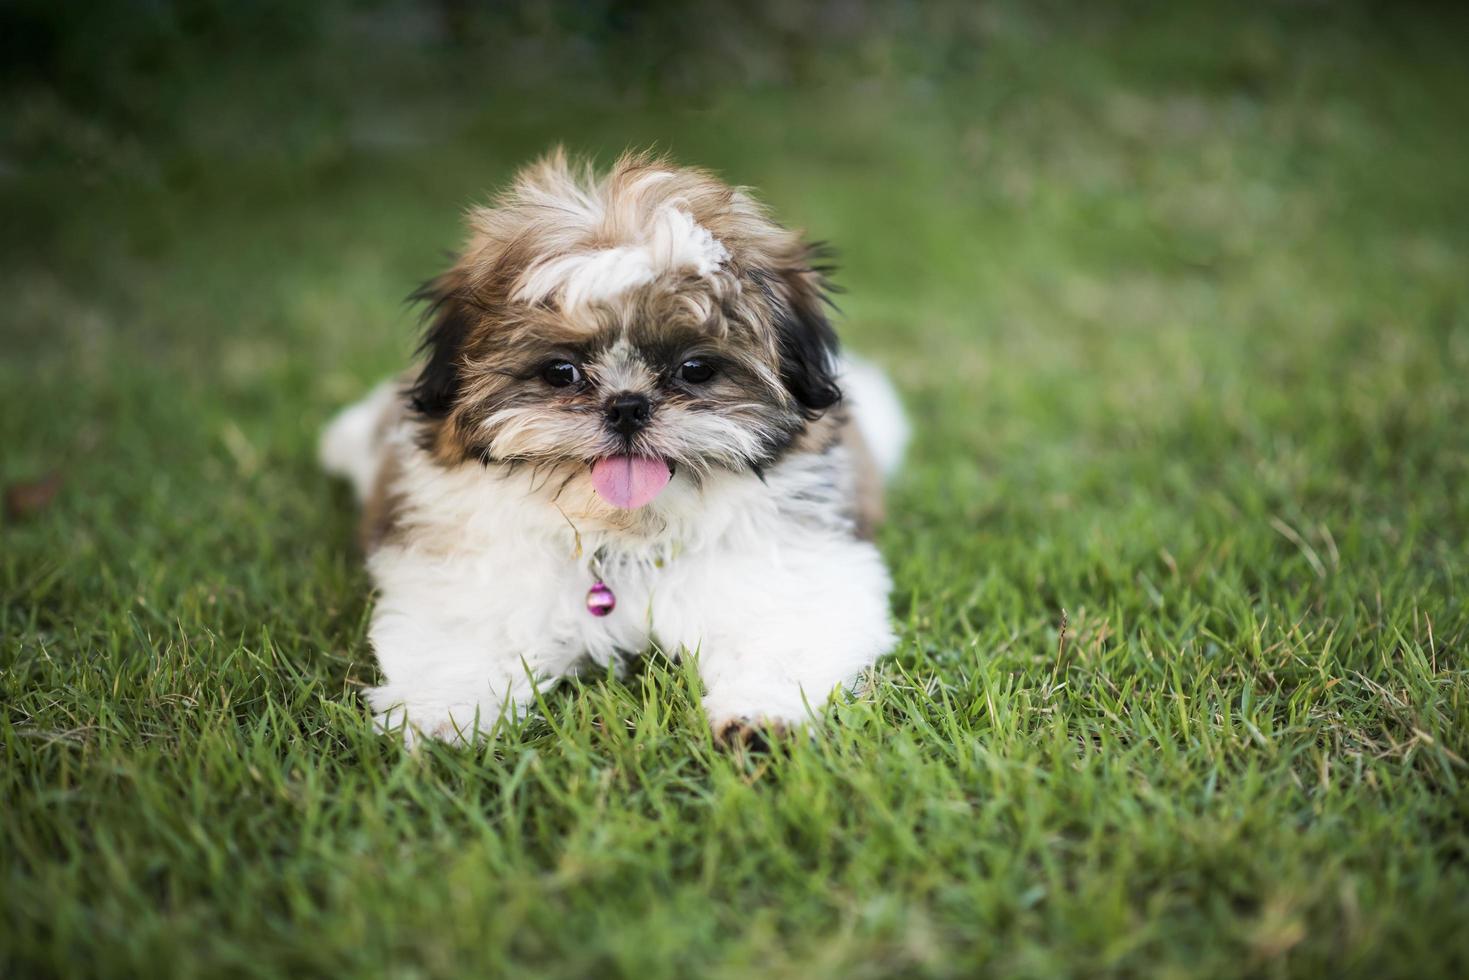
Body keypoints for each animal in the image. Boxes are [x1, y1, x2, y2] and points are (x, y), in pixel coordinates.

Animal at [321, 149, 904, 743]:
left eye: (696, 368)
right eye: (561, 371)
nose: (627, 406)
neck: (621, 537)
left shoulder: (793, 570)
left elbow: (783, 635)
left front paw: (760, 714)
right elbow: (460, 642)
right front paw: (442, 716)